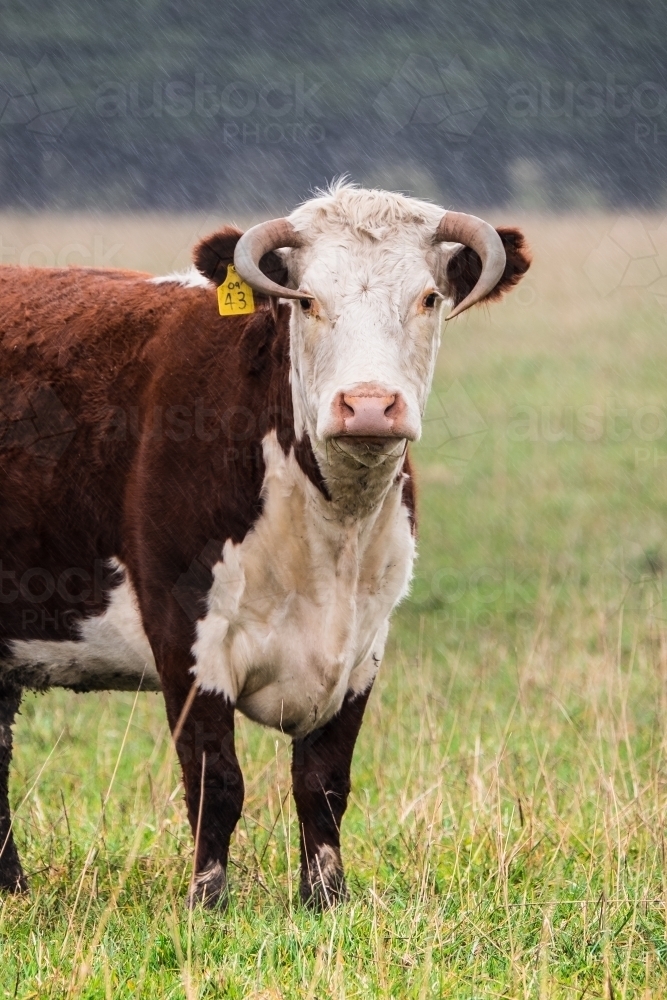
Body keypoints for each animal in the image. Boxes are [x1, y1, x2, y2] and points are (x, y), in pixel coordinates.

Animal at [0, 180, 532, 908]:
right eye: (305, 300)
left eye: (428, 298)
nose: (369, 405)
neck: (331, 532)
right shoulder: (185, 634)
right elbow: (216, 782)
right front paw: (206, 901)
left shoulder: (364, 643)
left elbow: (323, 784)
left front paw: (326, 898)